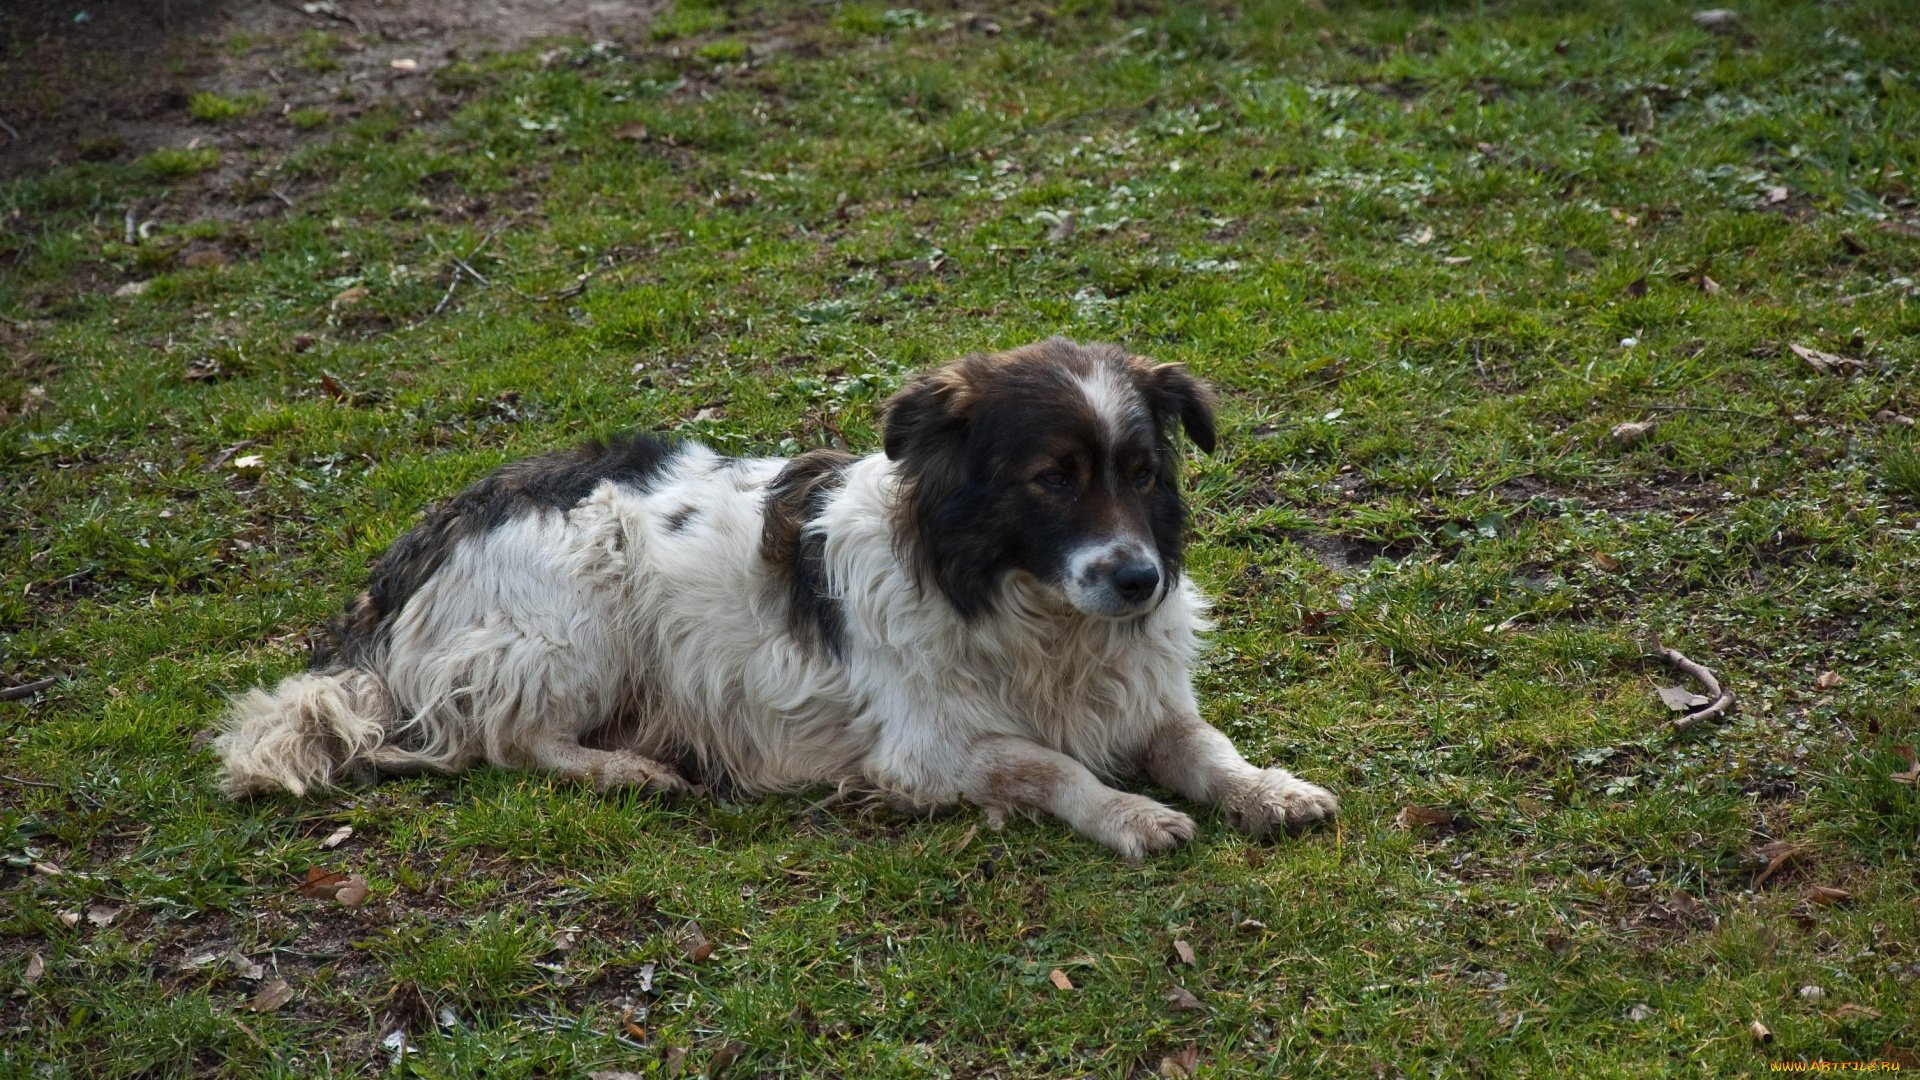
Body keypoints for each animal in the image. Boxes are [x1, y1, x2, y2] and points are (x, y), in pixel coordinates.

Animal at [214, 336, 1336, 857]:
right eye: (1052, 479)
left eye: (1142, 473)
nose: (1138, 578)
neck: (1030, 611)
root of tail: (418, 545)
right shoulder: (927, 749)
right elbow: (1049, 766)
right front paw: (1129, 813)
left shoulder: (1147, 697)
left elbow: (1205, 747)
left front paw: (1269, 788)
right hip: (584, 616)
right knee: (505, 737)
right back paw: (627, 770)